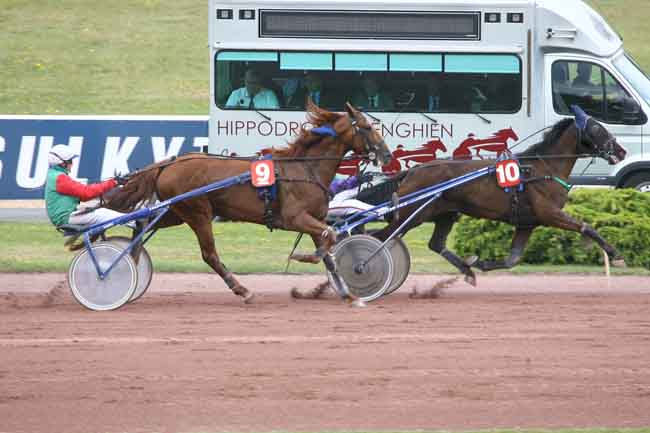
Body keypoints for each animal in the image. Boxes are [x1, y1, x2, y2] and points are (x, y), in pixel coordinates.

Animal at [104, 103, 392, 302]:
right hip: (198, 212)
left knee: (141, 224)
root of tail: (170, 163)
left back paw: (129, 265)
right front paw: (303, 256)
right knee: (209, 254)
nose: (387, 154)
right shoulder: (295, 218)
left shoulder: (315, 220)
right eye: (367, 127)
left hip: (176, 211)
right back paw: (242, 290)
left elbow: (329, 249)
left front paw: (348, 294)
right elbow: (329, 237)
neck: (304, 168)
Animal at [372, 106, 624, 286]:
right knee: (379, 236)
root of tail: (413, 170)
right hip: (413, 215)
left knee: (435, 243)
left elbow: (513, 259)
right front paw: (616, 255)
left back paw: (467, 269)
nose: (621, 151)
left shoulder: (527, 222)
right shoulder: (549, 213)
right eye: (597, 129)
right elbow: (586, 227)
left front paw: (480, 262)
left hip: (445, 213)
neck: (543, 169)